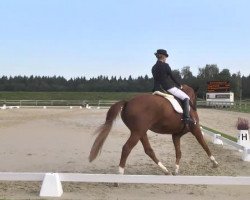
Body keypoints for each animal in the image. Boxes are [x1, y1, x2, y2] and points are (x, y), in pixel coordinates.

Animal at [89, 85, 218, 175]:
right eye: (195, 96)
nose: (195, 106)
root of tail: (127, 102)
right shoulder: (195, 129)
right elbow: (204, 145)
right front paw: (215, 163)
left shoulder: (176, 135)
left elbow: (178, 152)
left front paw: (176, 170)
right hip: (137, 132)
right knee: (127, 148)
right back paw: (119, 175)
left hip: (141, 132)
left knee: (148, 150)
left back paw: (165, 170)